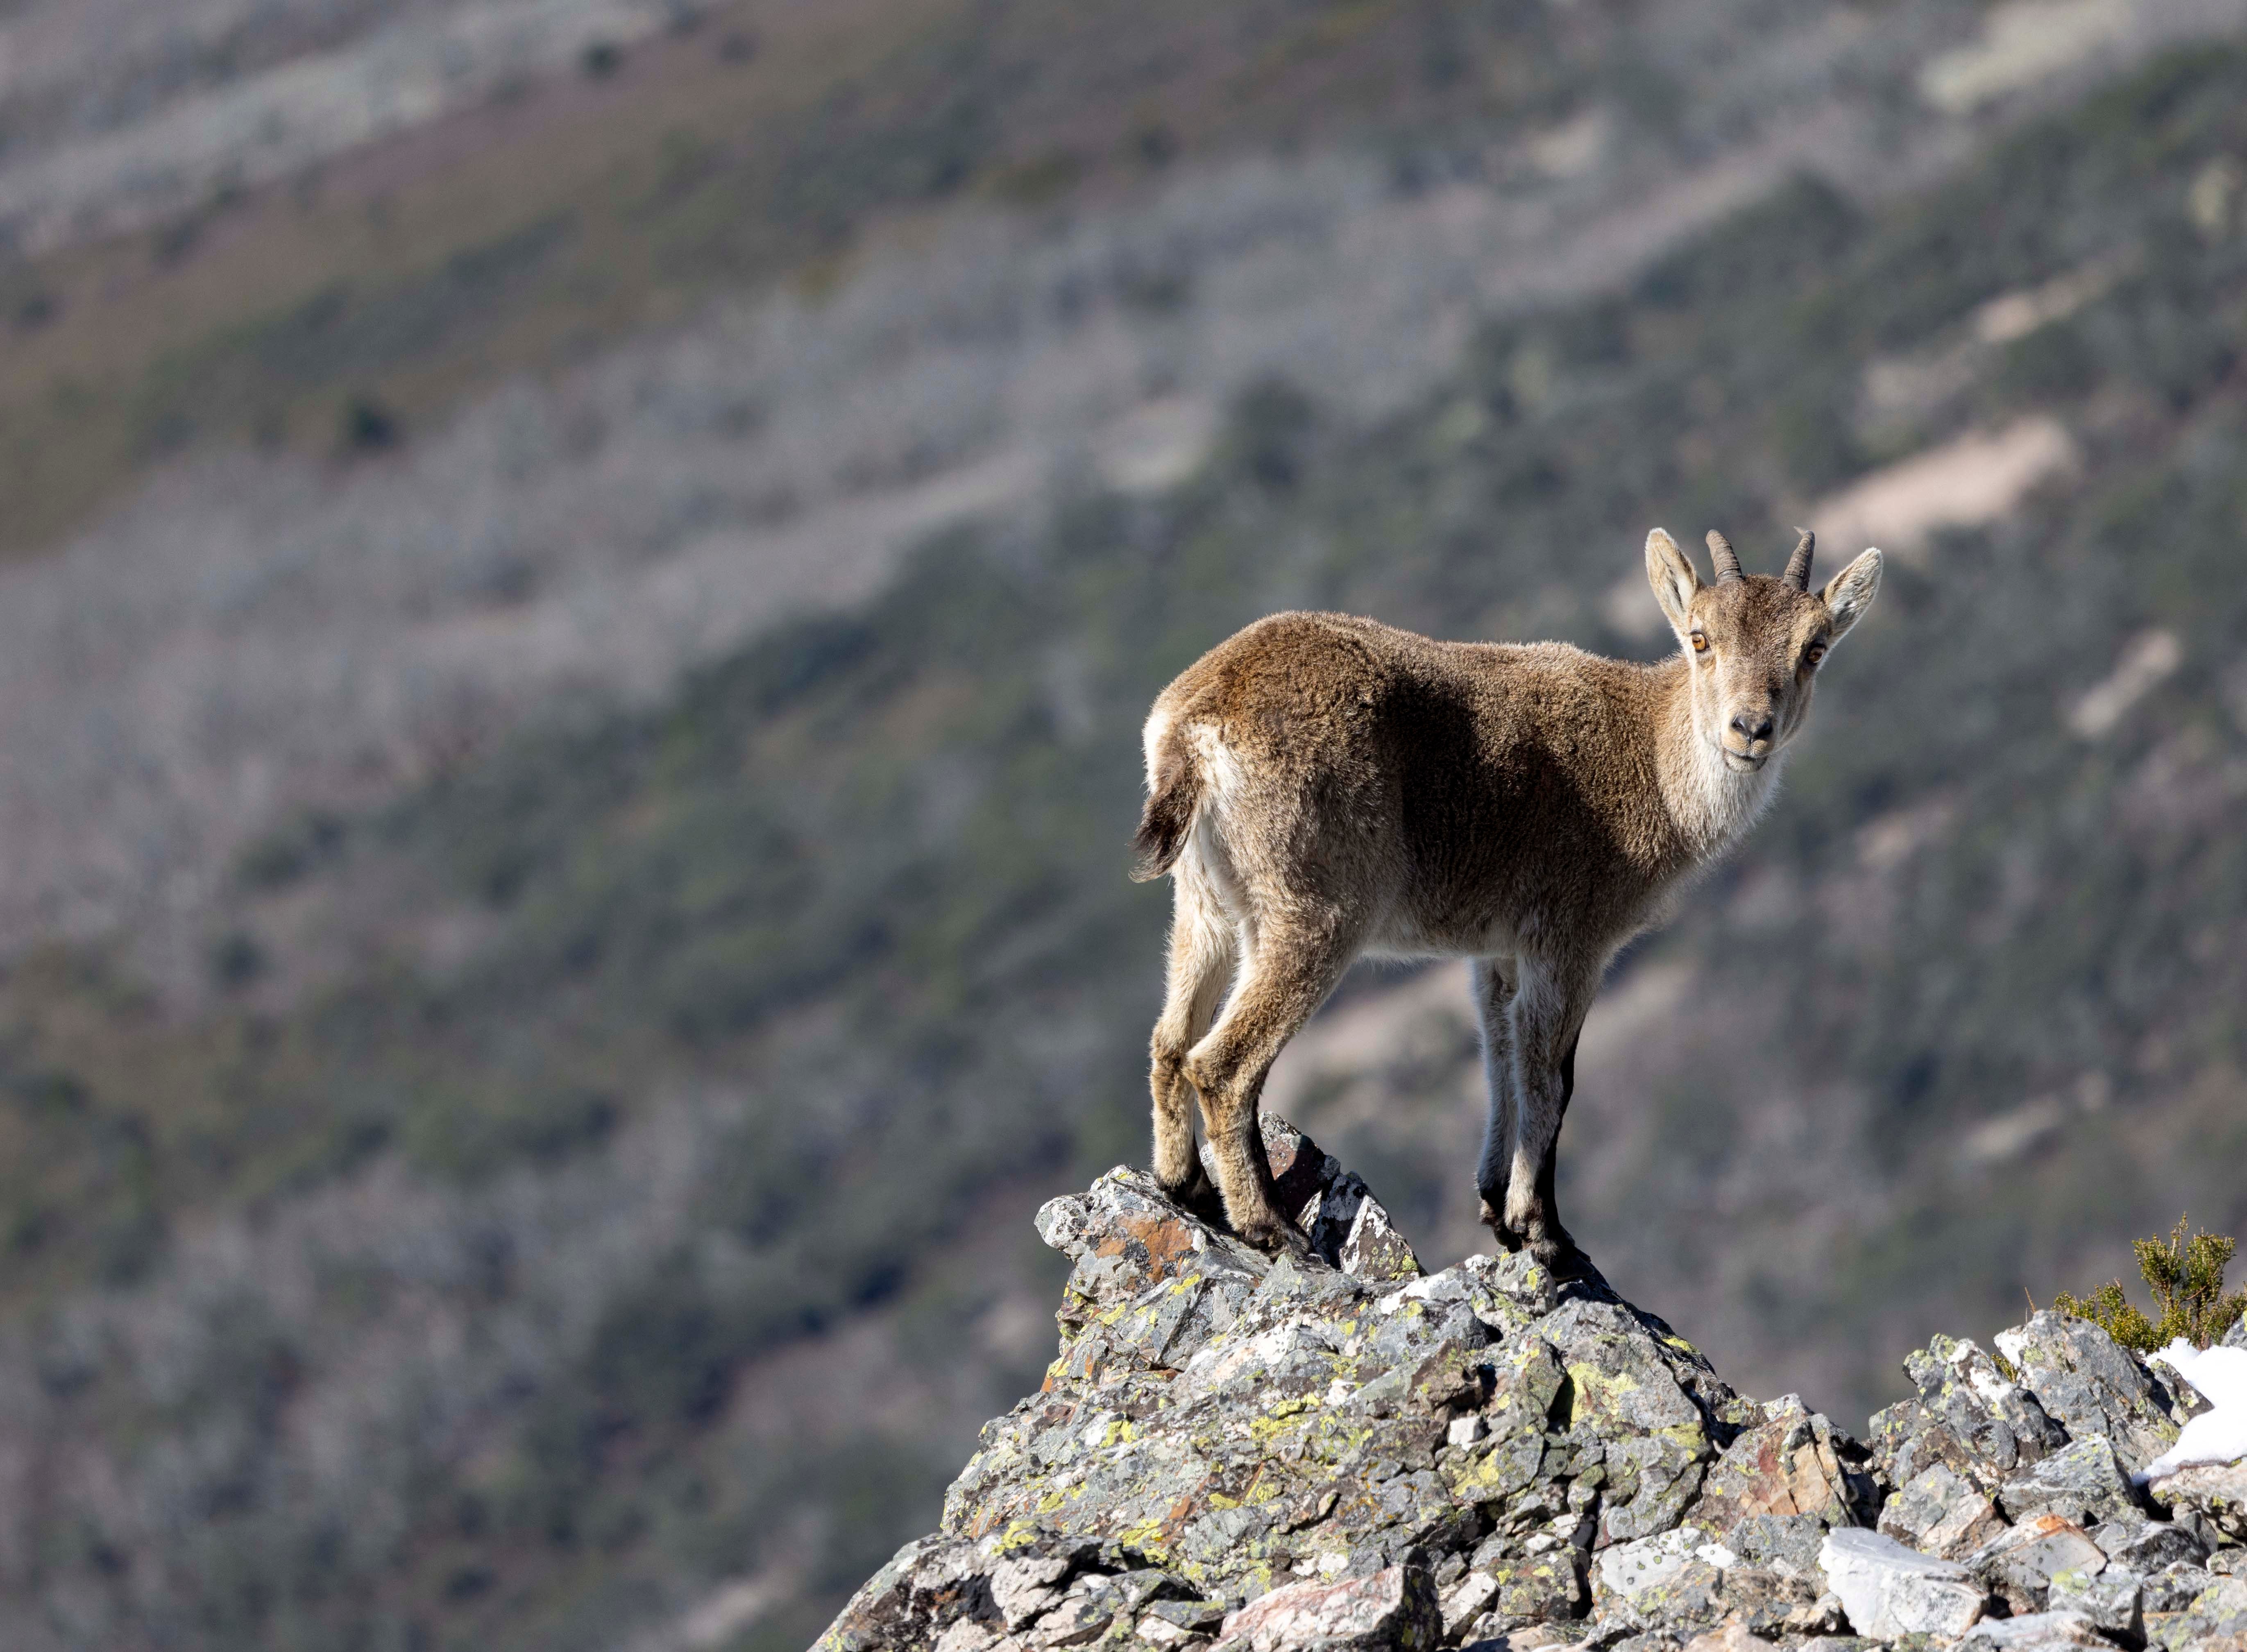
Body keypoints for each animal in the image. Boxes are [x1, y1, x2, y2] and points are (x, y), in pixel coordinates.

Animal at [1130, 527, 1882, 1275]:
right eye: (1701, 638)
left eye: (1814, 647)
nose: (1750, 728)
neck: (1652, 761)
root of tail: (1193, 725)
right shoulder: (1572, 940)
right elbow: (1552, 1077)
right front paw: (1544, 1231)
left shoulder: (1497, 952)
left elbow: (1500, 1059)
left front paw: (1497, 1205)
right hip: (1313, 911)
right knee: (1221, 1064)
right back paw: (1268, 1225)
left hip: (1207, 904)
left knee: (1170, 1039)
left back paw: (1188, 1187)